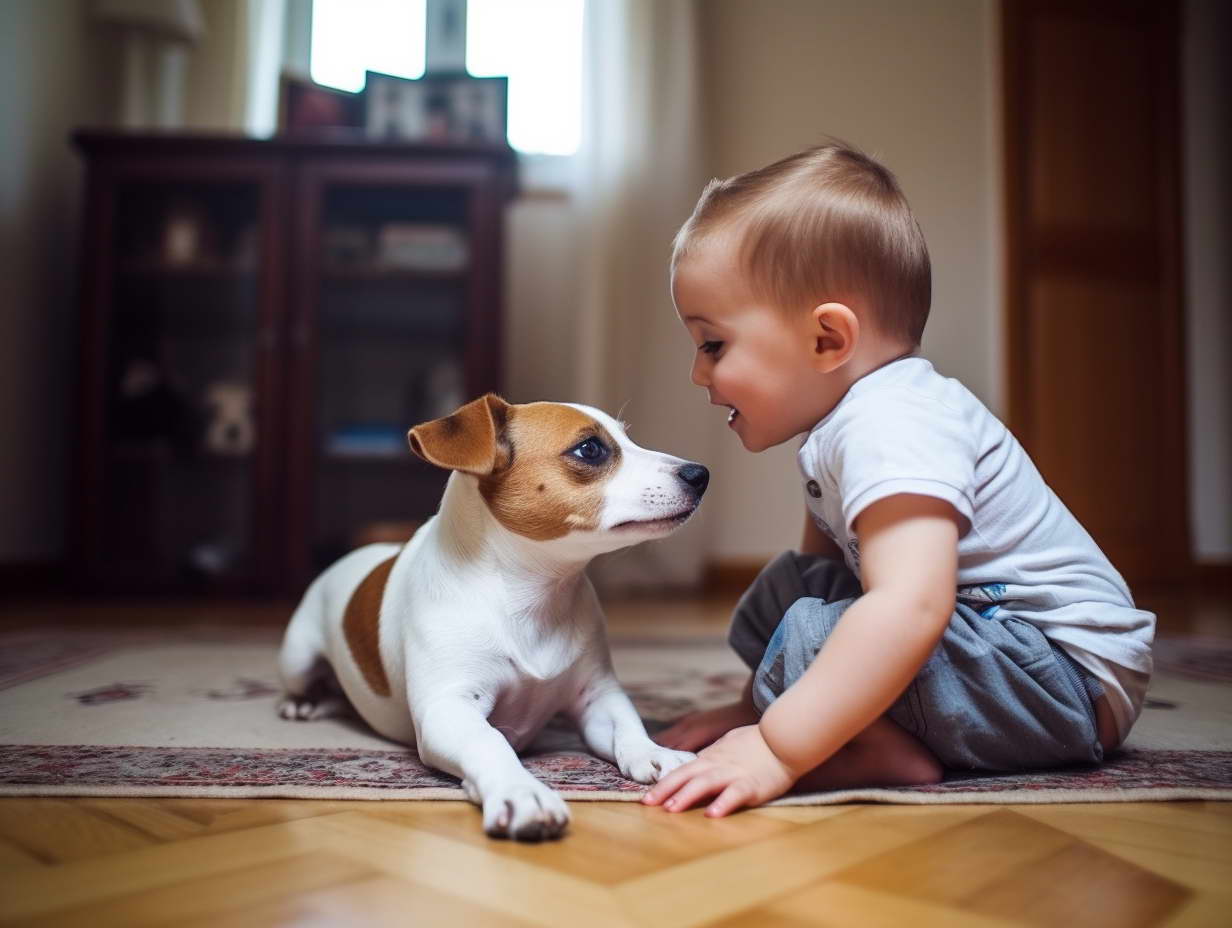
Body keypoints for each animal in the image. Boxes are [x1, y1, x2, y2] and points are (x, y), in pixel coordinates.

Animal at [275, 391, 709, 838]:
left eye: (628, 437)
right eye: (590, 449)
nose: (700, 474)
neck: (532, 596)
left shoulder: (598, 697)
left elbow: (628, 726)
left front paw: (656, 752)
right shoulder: (448, 709)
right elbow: (490, 742)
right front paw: (521, 791)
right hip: (297, 658)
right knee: (306, 681)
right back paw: (302, 703)